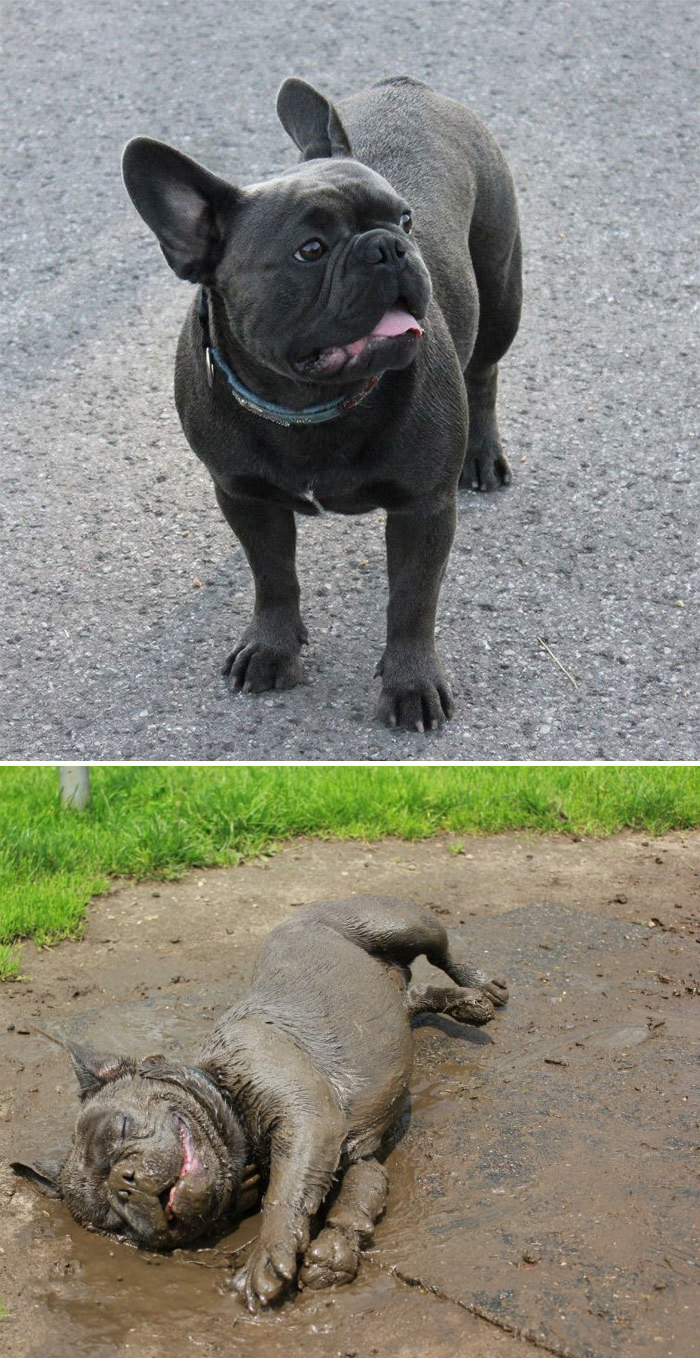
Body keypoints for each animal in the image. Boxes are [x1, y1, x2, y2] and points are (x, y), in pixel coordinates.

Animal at [12, 896, 508, 1309]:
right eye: (112, 1220)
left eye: (120, 1130)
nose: (123, 1184)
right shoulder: (356, 1155)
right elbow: (358, 1200)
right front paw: (333, 1253)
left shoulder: (308, 1123)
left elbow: (285, 1195)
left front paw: (266, 1257)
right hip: (394, 992)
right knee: (413, 998)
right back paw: (464, 1003)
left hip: (398, 924)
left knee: (441, 953)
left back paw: (482, 987)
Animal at [123, 74, 521, 733]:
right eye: (309, 250)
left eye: (406, 218)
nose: (389, 246)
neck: (309, 406)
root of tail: (407, 85)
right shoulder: (242, 495)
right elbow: (273, 576)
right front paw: (271, 648)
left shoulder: (423, 509)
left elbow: (412, 601)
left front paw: (411, 684)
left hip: (500, 288)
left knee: (484, 370)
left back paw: (483, 454)